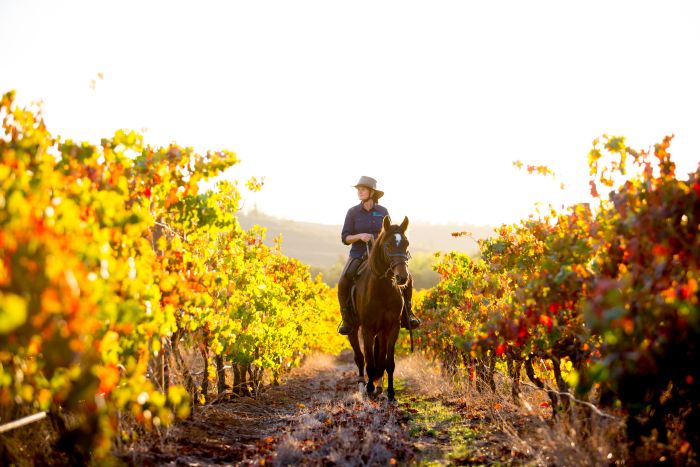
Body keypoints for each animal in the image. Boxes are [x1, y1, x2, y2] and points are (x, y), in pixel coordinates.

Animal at [348, 216, 412, 402]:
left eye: (406, 244)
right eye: (388, 245)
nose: (402, 277)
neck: (382, 289)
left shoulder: (392, 327)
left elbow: (388, 362)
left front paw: (390, 393)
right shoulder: (367, 329)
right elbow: (369, 361)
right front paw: (369, 388)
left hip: (382, 332)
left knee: (381, 358)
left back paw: (379, 387)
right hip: (354, 329)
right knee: (360, 358)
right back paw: (363, 387)